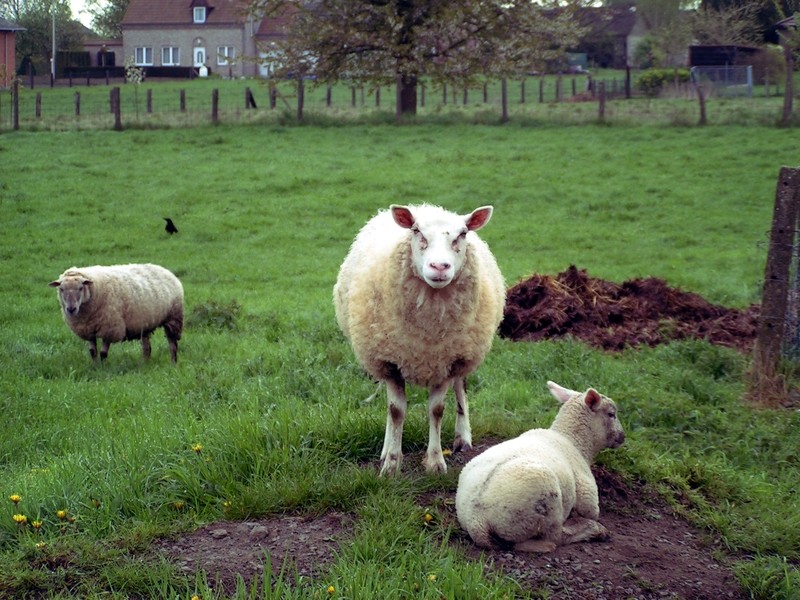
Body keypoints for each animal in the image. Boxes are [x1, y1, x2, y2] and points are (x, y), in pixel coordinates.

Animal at [50, 262, 185, 360]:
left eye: (80, 287)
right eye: (61, 289)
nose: (71, 309)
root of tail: (166, 271)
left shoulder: (110, 328)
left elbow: (103, 353)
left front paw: (102, 368)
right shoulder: (88, 330)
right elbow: (92, 352)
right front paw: (95, 366)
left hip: (173, 317)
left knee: (173, 344)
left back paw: (173, 362)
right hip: (145, 323)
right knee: (147, 348)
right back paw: (145, 363)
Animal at [334, 204, 504, 476]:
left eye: (463, 233)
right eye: (416, 231)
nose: (439, 266)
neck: (429, 330)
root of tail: (425, 207)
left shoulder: (447, 361)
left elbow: (436, 410)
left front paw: (435, 462)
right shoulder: (389, 361)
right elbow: (395, 411)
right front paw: (391, 464)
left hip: (465, 351)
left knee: (461, 388)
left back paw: (463, 438)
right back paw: (385, 449)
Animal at [456, 382, 624, 552]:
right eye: (611, 414)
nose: (622, 437)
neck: (573, 440)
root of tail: (477, 522)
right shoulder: (587, 493)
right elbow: (591, 511)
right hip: (546, 501)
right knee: (554, 537)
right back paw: (592, 530)